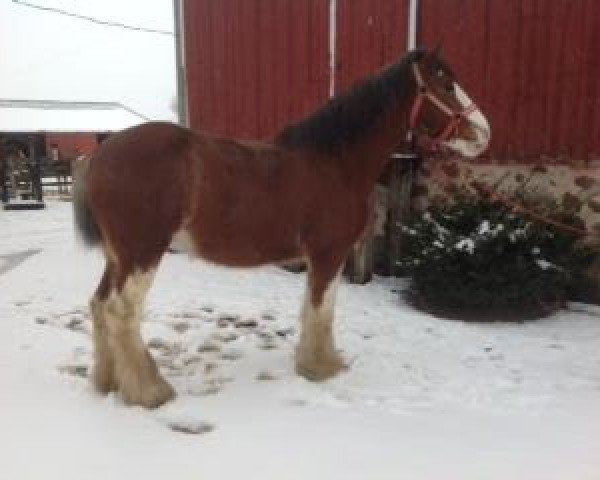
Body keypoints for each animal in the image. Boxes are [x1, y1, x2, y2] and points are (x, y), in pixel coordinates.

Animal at [74, 48, 488, 408]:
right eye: (444, 82)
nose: (484, 133)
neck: (334, 163)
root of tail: (99, 154)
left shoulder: (315, 258)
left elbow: (310, 308)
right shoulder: (329, 254)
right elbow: (323, 310)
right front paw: (322, 369)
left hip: (118, 256)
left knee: (99, 304)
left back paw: (107, 381)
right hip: (142, 253)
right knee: (121, 310)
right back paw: (150, 392)